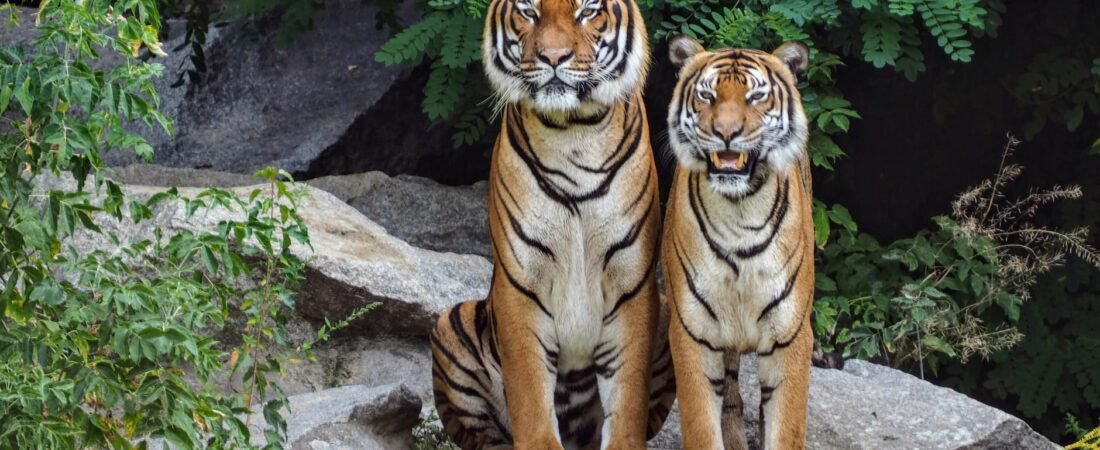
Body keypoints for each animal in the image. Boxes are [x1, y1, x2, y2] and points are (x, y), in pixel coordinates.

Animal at [428, 0, 675, 448]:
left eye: (588, 10)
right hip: (451, 325)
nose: (553, 57)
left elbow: (627, 398)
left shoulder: (632, 285)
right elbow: (530, 395)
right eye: (528, 10)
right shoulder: (521, 283)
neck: (572, 130)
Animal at [659, 36, 815, 450]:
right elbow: (702, 425)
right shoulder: (692, 334)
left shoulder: (791, 335)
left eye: (756, 96)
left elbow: (785, 427)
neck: (739, 211)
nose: (725, 132)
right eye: (707, 95)